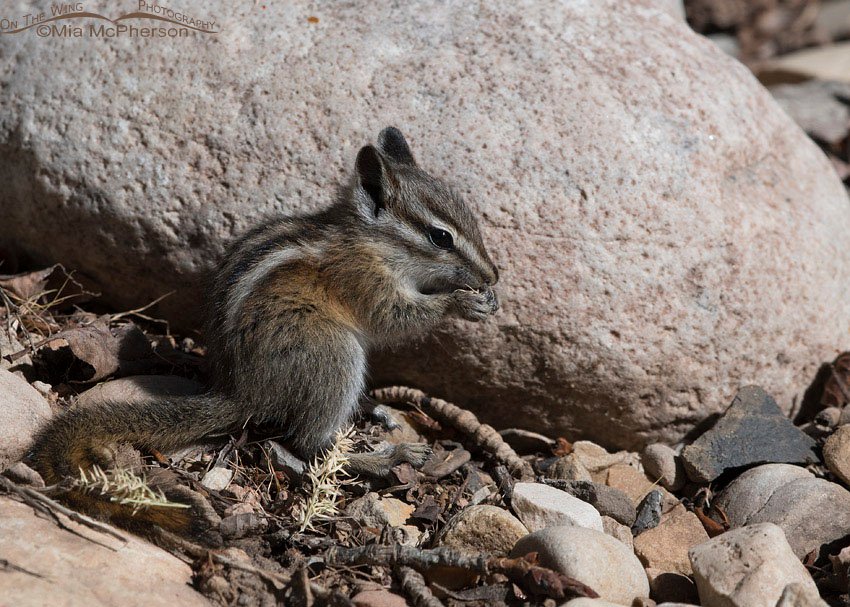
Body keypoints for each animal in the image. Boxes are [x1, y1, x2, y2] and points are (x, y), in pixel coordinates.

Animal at [28, 127, 500, 539]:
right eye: (440, 237)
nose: (493, 275)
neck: (371, 240)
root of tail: (243, 392)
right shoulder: (364, 280)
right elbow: (395, 318)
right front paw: (462, 303)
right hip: (332, 351)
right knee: (311, 443)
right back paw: (387, 458)